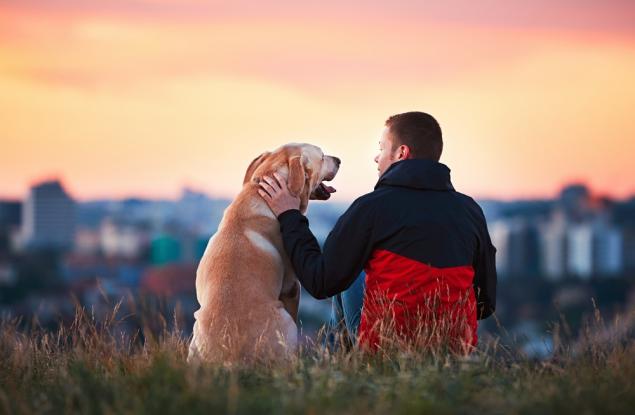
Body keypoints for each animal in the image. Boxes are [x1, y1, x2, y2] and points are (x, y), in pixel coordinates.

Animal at [188, 145, 340, 366]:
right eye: (321, 156)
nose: (339, 160)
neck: (259, 194)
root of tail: (230, 358)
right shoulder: (291, 287)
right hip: (285, 321)